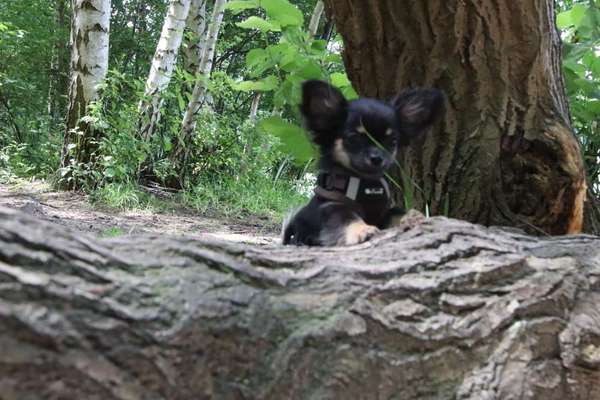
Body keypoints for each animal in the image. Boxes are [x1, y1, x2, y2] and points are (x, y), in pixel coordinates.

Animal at [282, 79, 446, 245]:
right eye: (354, 138)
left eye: (392, 142)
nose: (377, 158)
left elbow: (397, 213)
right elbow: (348, 219)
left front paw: (412, 217)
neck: (366, 184)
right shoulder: (333, 207)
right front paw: (363, 230)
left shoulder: (385, 211)